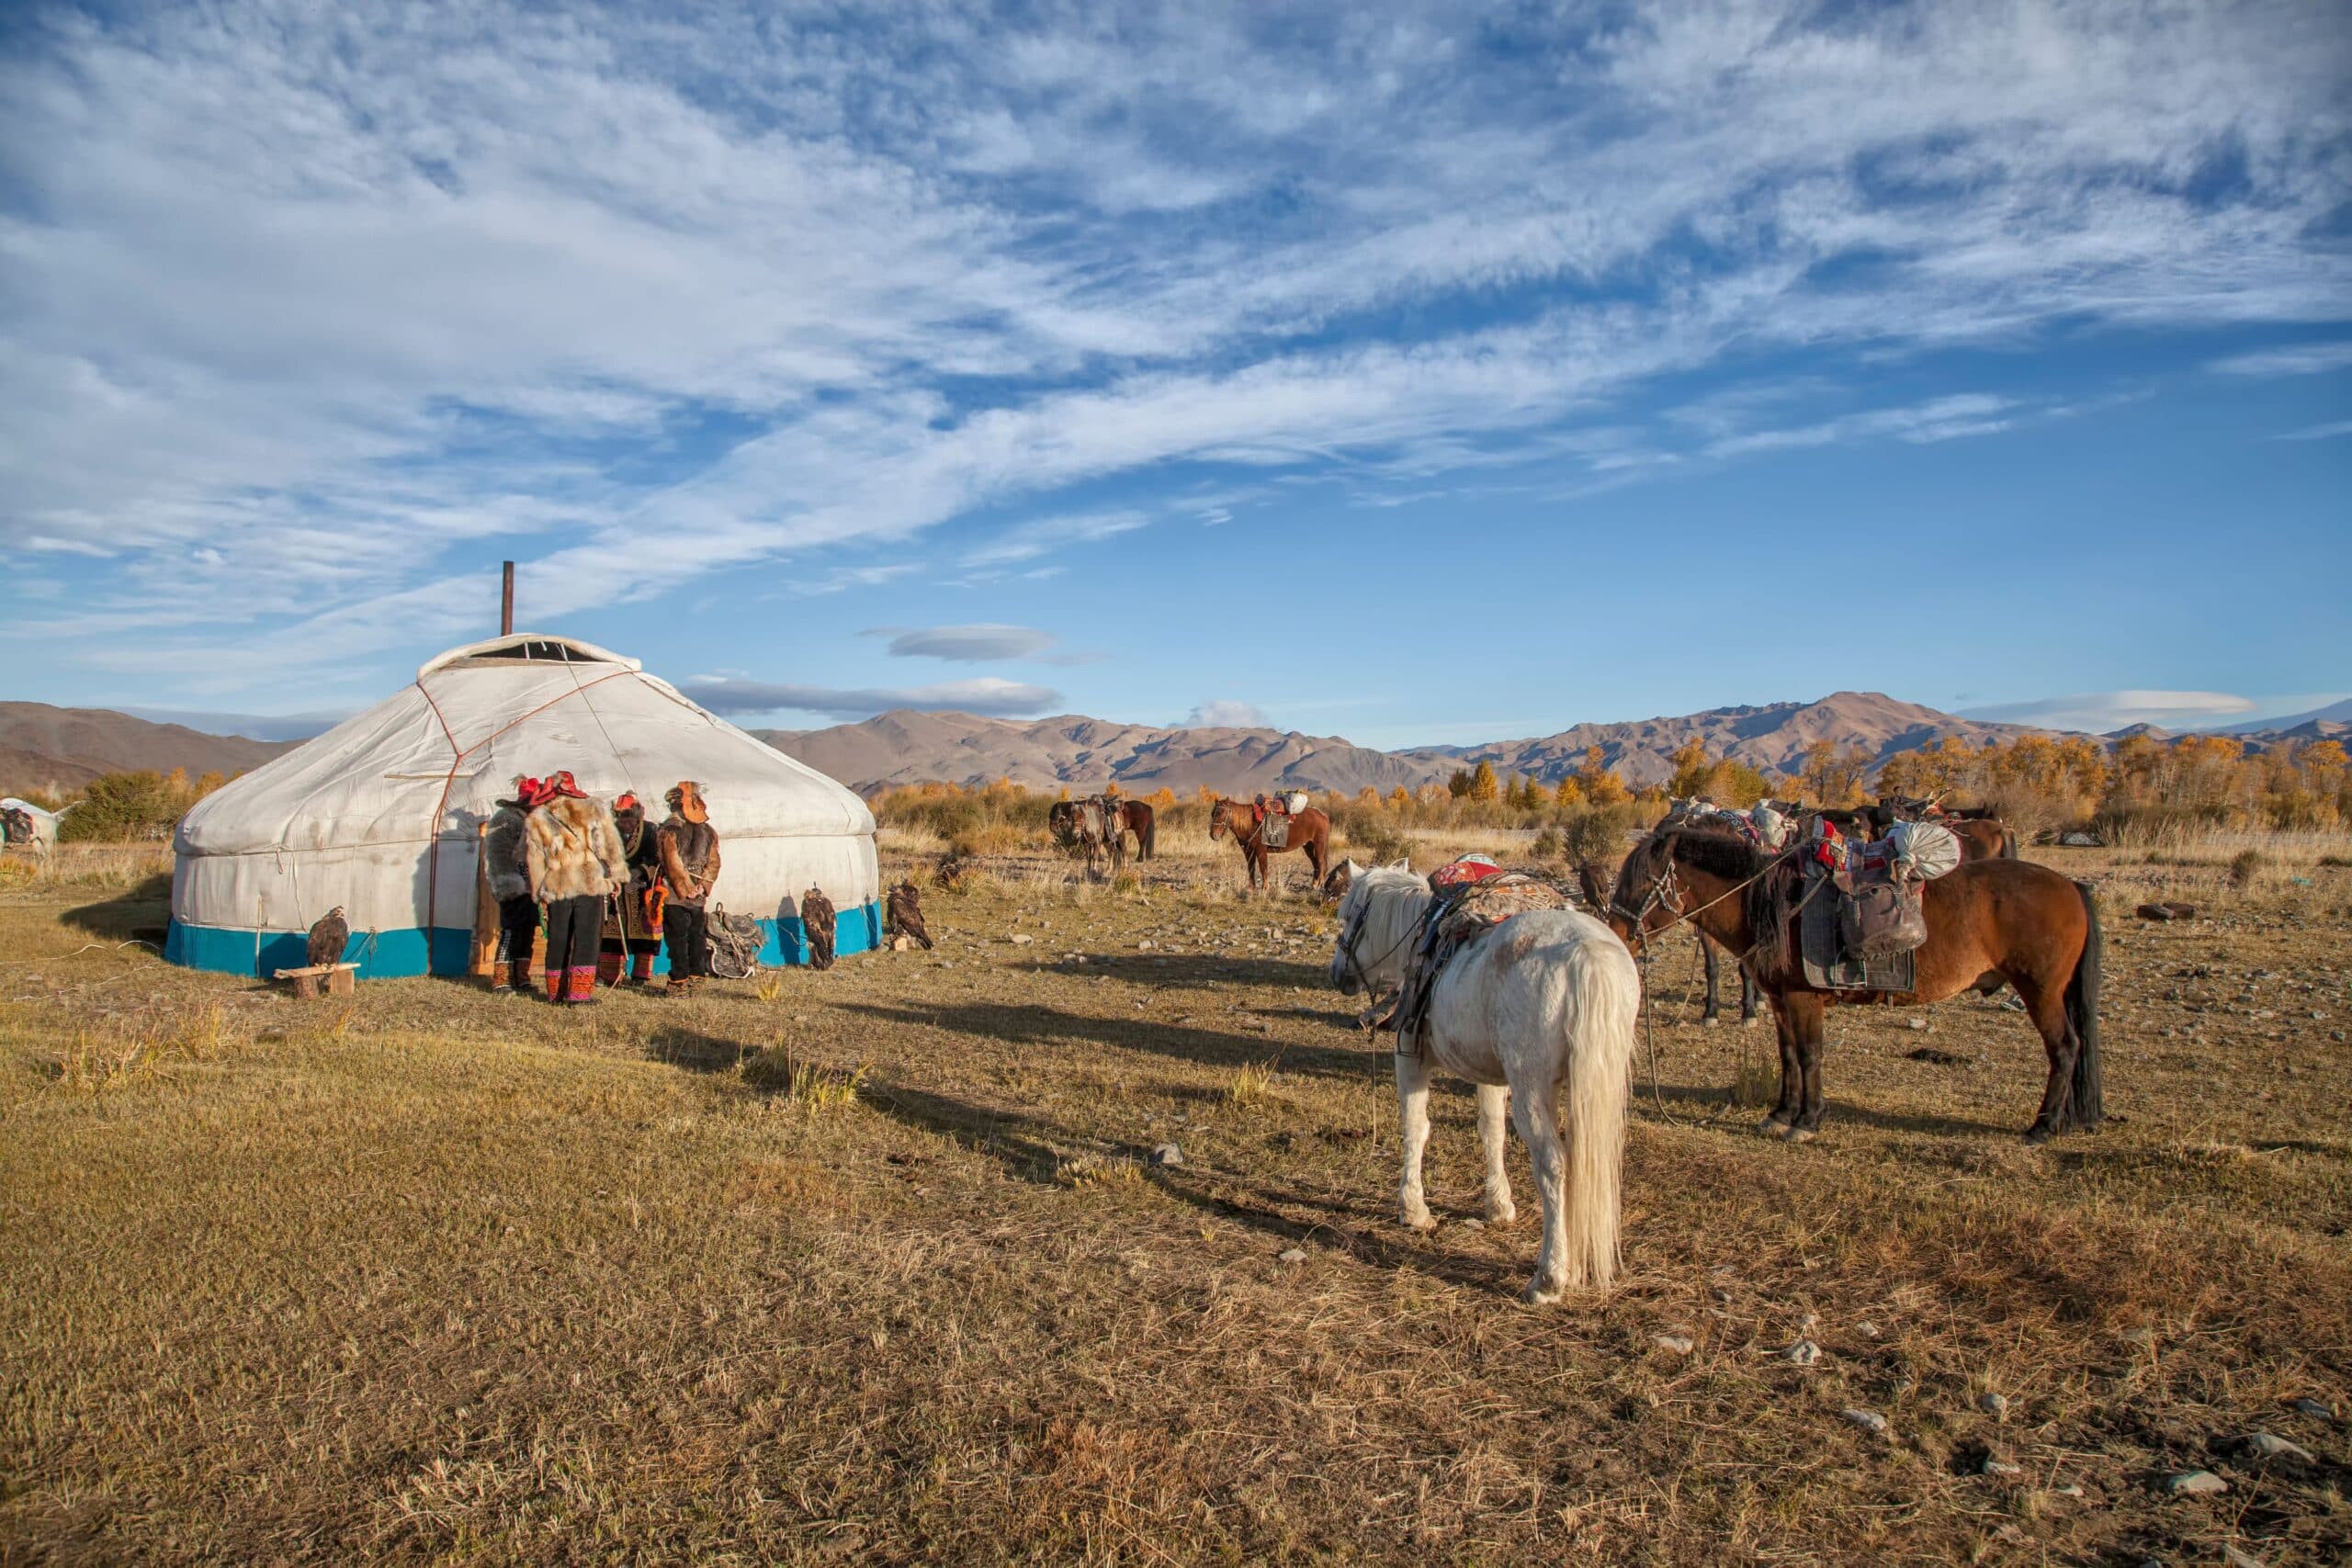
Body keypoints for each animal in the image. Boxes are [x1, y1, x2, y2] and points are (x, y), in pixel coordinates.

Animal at [1336, 869, 1646, 1297]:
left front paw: (1413, 1210)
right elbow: (1492, 1130)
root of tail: (1587, 955)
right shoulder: (1492, 1077)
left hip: (1533, 1088)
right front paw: (1498, 1204)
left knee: (1552, 1164)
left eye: (1348, 915)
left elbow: (1415, 1128)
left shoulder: (1410, 1056)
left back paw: (1550, 1276)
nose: (1337, 973)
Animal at [1609, 827, 2107, 1146]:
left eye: (1641, 882)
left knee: (2065, 1048)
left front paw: (1807, 1121)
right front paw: (1781, 1114)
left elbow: (1810, 1054)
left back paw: (2042, 1128)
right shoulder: (1780, 999)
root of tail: (2071, 886)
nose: (1615, 932)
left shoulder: (1803, 999)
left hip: (2041, 990)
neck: (1770, 904)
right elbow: (1788, 1055)